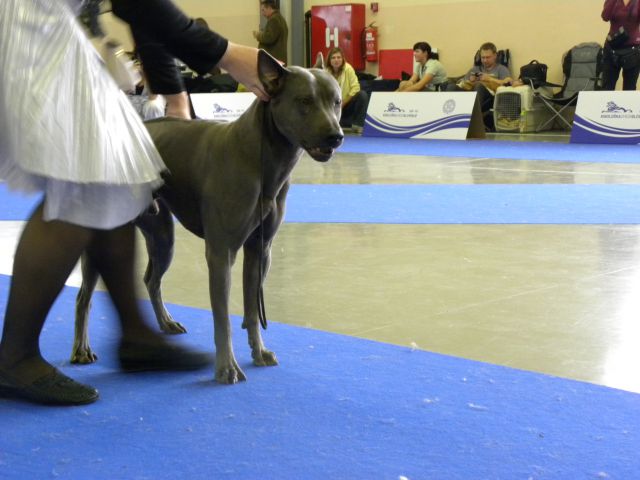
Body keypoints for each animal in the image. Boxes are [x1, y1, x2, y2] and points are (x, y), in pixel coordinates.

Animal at [72, 51, 342, 382]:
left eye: (336, 102)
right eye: (304, 101)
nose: (336, 136)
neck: (262, 160)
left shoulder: (260, 250)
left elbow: (251, 310)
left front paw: (259, 351)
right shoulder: (221, 253)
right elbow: (222, 317)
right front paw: (227, 367)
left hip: (163, 237)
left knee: (151, 280)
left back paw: (165, 324)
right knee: (84, 296)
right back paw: (81, 349)